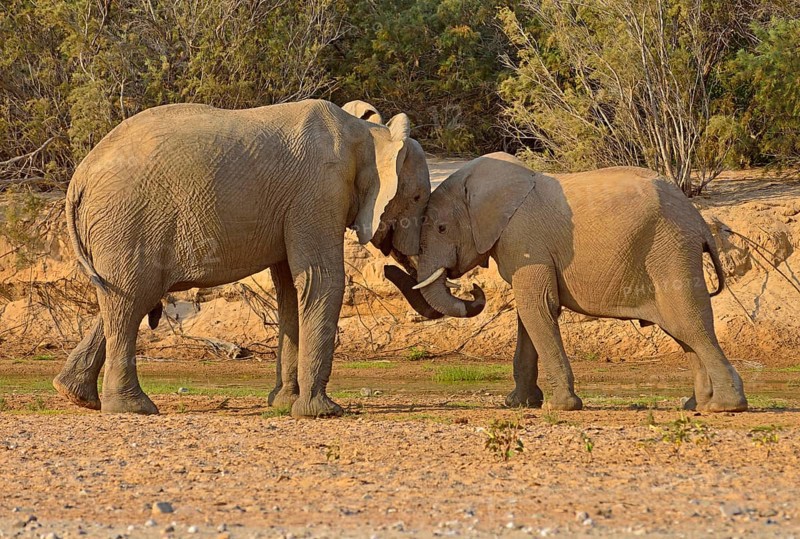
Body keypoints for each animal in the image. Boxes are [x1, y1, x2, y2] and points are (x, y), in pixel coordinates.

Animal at [53, 99, 430, 418]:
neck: (364, 133)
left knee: (123, 299)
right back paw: (134, 408)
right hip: (128, 222)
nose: (392, 264)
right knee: (131, 300)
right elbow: (320, 280)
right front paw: (321, 412)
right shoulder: (319, 191)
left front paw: (284, 404)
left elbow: (290, 291)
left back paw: (77, 396)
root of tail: (79, 177)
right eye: (417, 197)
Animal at [387, 152, 747, 412]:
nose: (475, 290)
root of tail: (699, 223)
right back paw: (695, 405)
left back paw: (724, 407)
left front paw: (560, 407)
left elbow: (537, 307)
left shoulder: (525, 239)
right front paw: (518, 404)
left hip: (670, 253)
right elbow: (529, 315)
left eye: (442, 228)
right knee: (682, 331)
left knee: (689, 323)